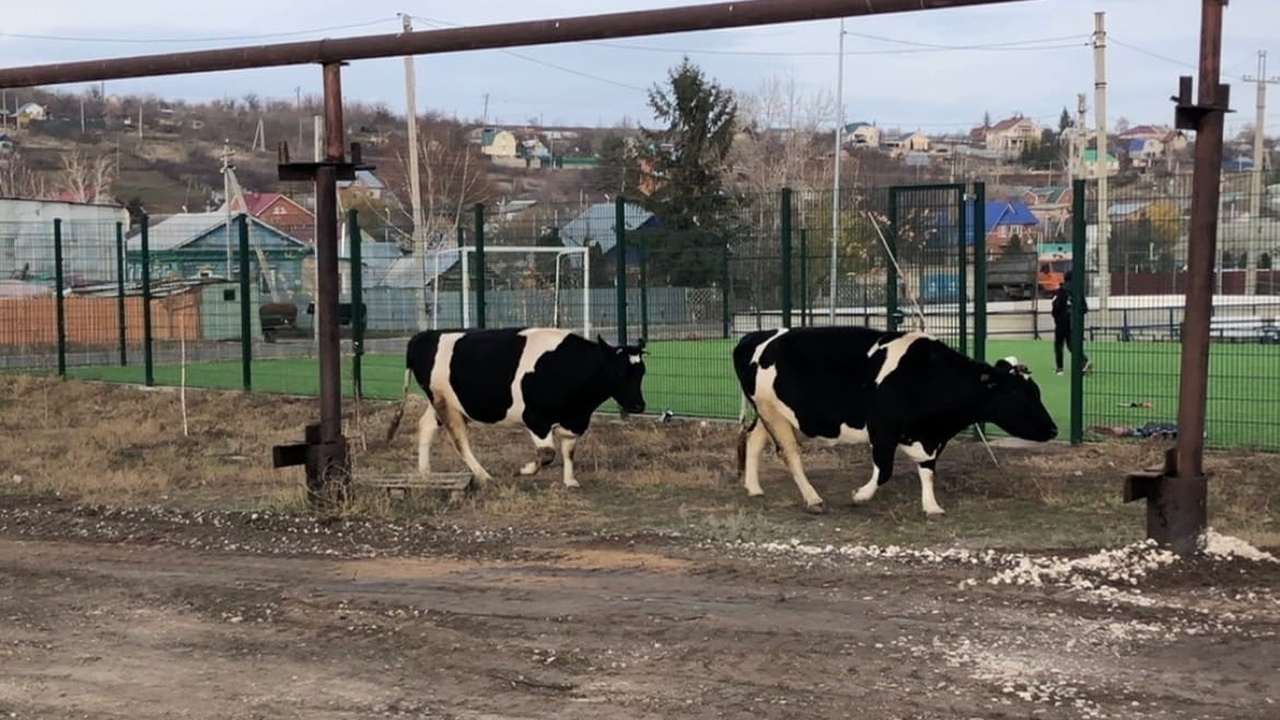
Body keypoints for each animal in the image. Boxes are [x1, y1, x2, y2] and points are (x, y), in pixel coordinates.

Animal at [381, 326, 645, 484]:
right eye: (620, 372)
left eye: (641, 372)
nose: (638, 405)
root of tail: (424, 336)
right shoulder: (536, 418)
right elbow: (547, 455)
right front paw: (524, 469)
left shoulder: (575, 420)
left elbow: (569, 451)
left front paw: (570, 481)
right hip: (446, 405)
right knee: (459, 441)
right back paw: (484, 476)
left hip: (443, 403)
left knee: (426, 426)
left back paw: (425, 472)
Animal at [737, 322, 1054, 512]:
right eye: (1018, 394)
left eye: (1037, 391)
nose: (1053, 429)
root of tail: (757, 335)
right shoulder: (883, 428)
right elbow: (885, 469)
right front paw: (860, 495)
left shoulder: (930, 437)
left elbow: (928, 470)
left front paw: (931, 506)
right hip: (772, 412)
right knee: (789, 453)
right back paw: (812, 498)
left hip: (773, 414)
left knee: (754, 440)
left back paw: (754, 488)